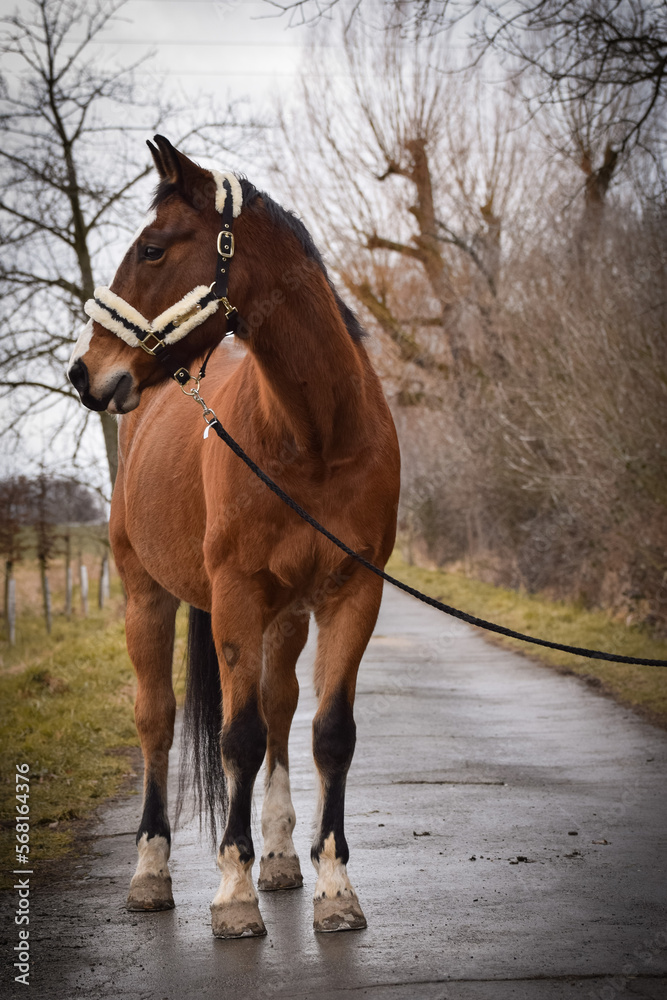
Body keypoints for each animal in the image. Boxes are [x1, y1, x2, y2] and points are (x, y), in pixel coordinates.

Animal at [68, 135, 400, 938]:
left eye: (153, 248)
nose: (85, 372)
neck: (315, 436)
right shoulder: (236, 597)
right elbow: (236, 737)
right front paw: (231, 892)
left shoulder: (352, 594)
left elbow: (328, 733)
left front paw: (334, 888)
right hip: (146, 597)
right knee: (158, 722)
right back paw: (152, 871)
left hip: (286, 614)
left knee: (280, 709)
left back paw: (278, 857)